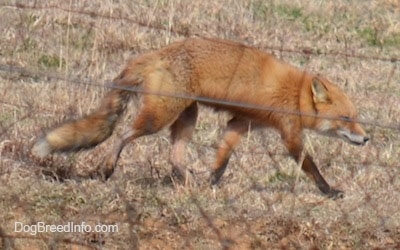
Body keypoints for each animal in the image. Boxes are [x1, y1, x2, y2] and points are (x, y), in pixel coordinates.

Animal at [32, 37, 368, 198]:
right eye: (346, 118)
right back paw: (107, 167)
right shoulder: (290, 135)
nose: (366, 138)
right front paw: (329, 191)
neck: (296, 94)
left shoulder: (240, 123)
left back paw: (187, 183)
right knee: (123, 135)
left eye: (356, 117)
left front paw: (212, 181)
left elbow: (223, 157)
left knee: (174, 157)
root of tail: (154, 54)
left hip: (187, 117)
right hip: (159, 117)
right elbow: (310, 166)